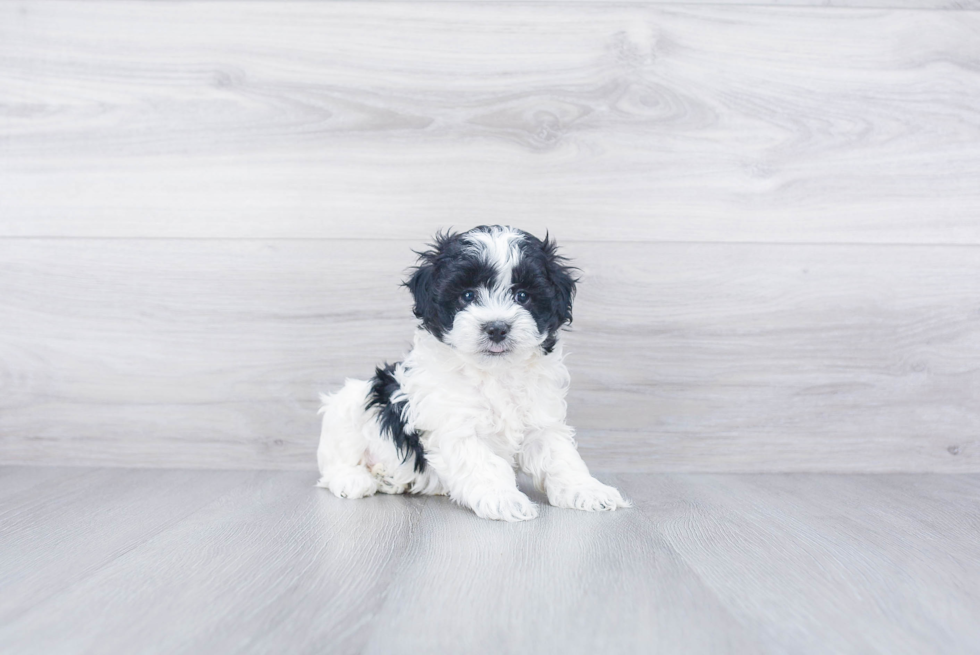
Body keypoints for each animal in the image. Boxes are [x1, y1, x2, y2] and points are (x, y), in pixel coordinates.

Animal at [318, 226, 632, 524]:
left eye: (523, 296)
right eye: (467, 295)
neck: (495, 373)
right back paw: (355, 479)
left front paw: (588, 490)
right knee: (337, 459)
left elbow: (561, 457)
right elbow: (483, 463)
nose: (496, 328)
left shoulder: (542, 421)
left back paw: (390, 479)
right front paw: (504, 499)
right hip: (349, 406)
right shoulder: (456, 426)